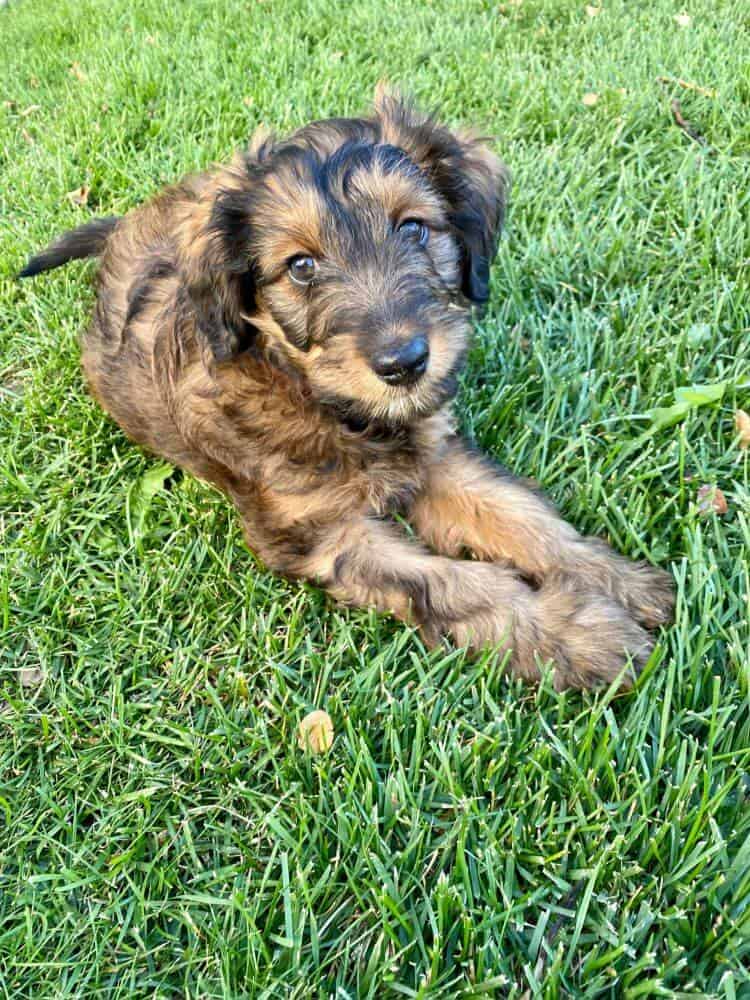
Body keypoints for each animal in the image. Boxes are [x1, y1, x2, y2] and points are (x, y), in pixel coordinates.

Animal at [20, 88, 676, 688]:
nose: (404, 363)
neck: (322, 399)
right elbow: (453, 583)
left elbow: (519, 516)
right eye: (302, 266)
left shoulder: (434, 456)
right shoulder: (323, 535)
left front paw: (613, 578)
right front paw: (576, 636)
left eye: (413, 228)